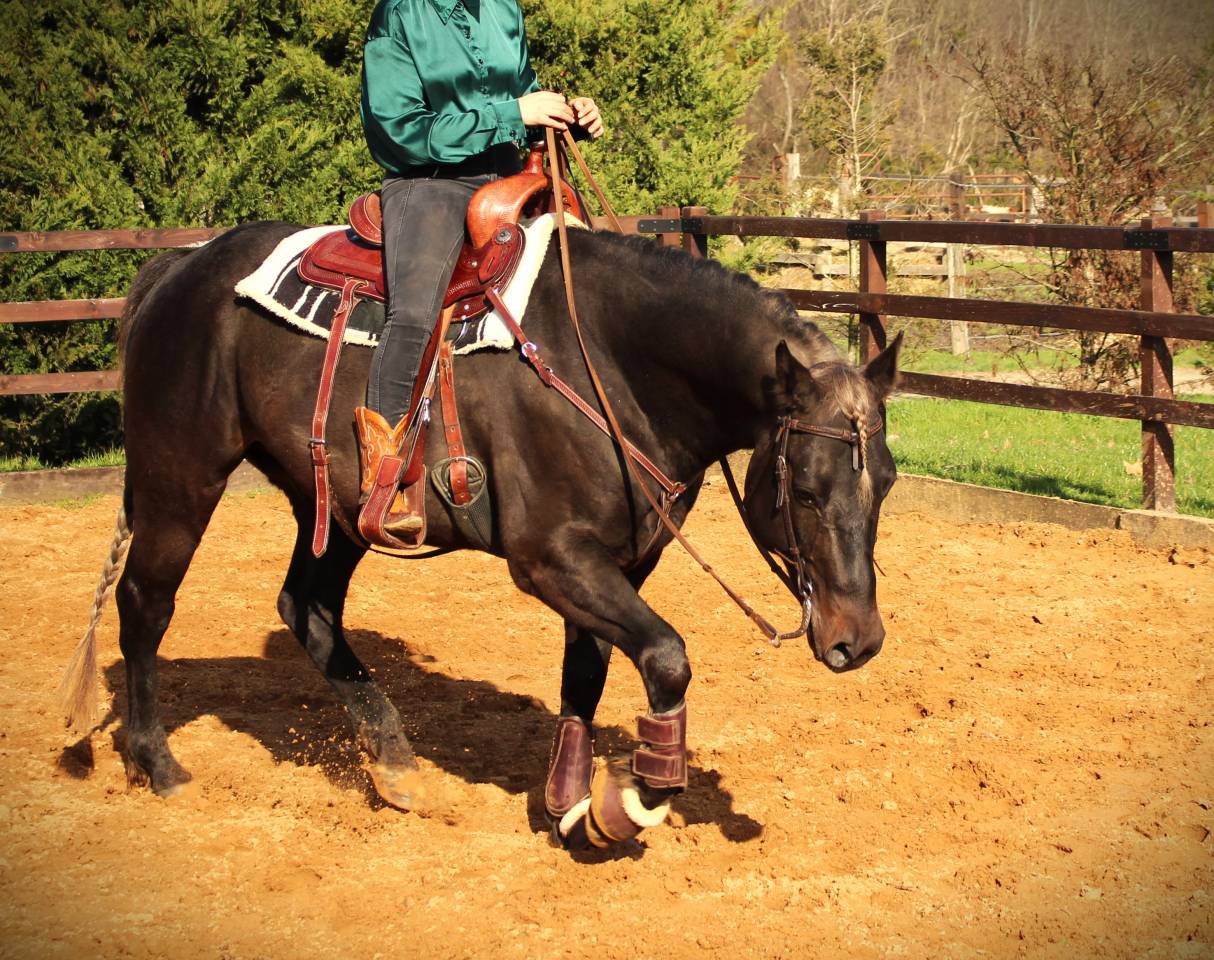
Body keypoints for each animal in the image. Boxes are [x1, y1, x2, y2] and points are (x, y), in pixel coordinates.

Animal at [62, 220, 902, 849]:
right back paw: (157, 762)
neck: (610, 362)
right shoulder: (549, 558)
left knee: (307, 607)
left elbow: (587, 673)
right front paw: (627, 804)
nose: (858, 641)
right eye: (805, 488)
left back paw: (397, 764)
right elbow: (667, 658)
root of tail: (180, 267)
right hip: (181, 476)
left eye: (887, 480)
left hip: (331, 507)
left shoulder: (616, 561)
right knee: (145, 603)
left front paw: (570, 802)